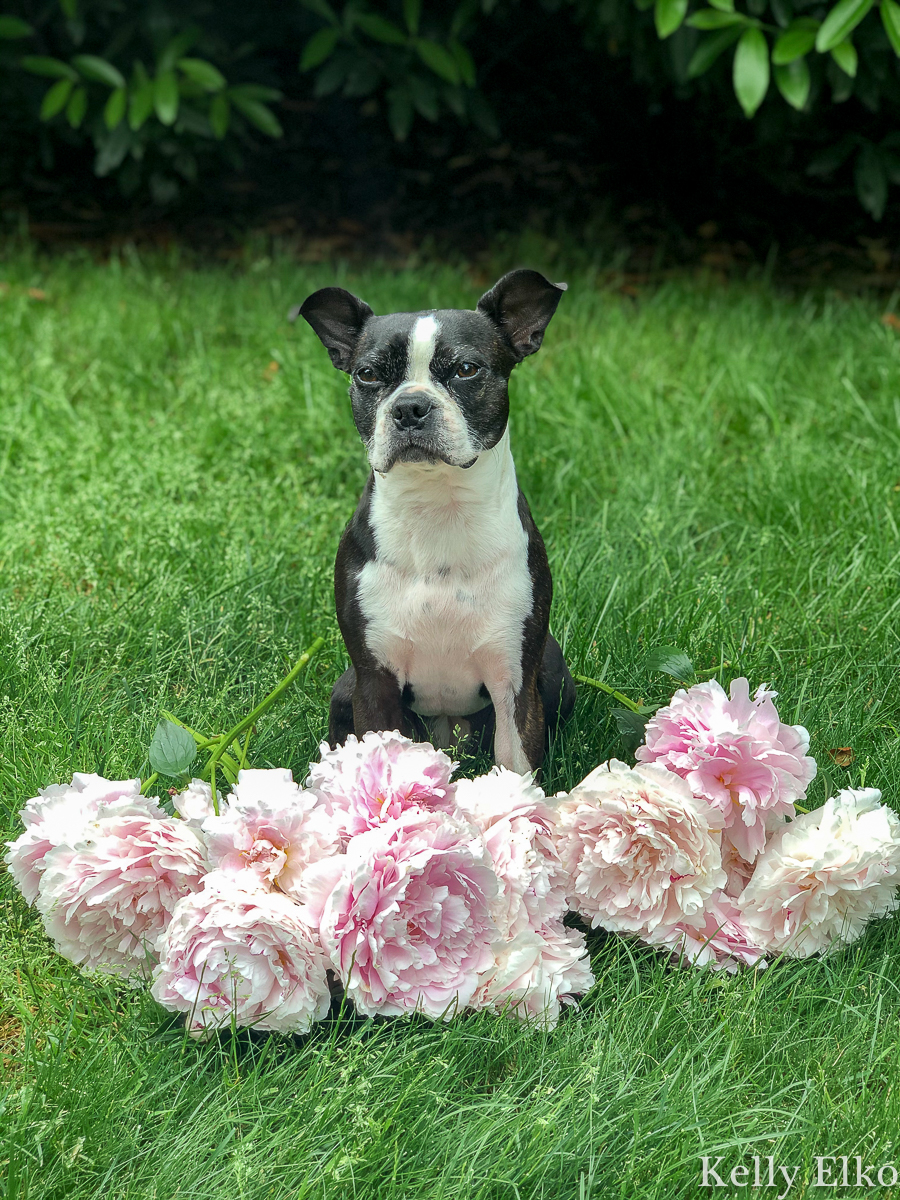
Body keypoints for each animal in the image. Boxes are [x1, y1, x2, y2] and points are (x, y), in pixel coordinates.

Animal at [300, 268, 573, 772]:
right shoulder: (375, 683)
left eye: (466, 369)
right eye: (368, 374)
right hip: (346, 687)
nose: (409, 407)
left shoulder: (513, 682)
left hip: (552, 669)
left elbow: (517, 767)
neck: (437, 507)